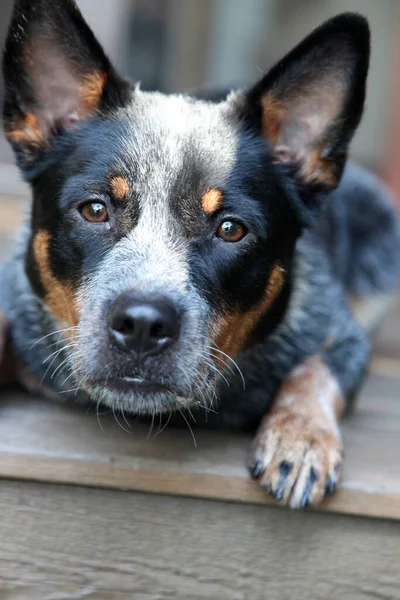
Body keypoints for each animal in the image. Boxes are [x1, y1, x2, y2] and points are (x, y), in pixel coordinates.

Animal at [0, 0, 400, 508]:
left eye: (230, 229)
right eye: (94, 209)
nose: (143, 324)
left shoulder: (342, 333)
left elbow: (316, 369)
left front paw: (302, 437)